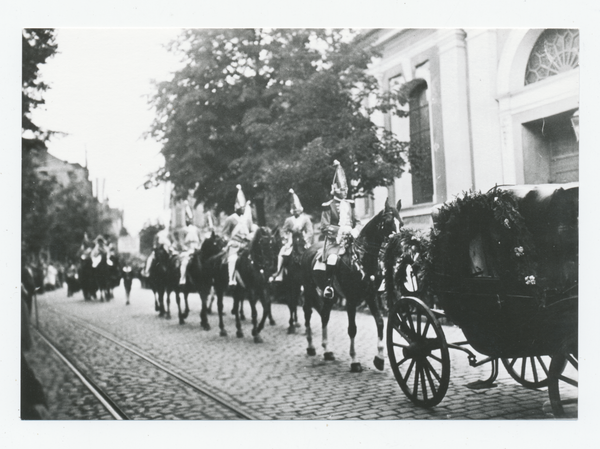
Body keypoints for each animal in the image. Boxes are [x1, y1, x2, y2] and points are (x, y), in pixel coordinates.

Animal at [300, 199, 404, 372]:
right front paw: (355, 361)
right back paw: (310, 347)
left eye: (401, 223)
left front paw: (379, 359)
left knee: (324, 316)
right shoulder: (351, 300)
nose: (399, 250)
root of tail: (308, 250)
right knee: (308, 314)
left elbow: (380, 323)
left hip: (331, 297)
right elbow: (352, 329)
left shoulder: (370, 296)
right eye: (389, 222)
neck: (361, 259)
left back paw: (327, 351)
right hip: (308, 290)